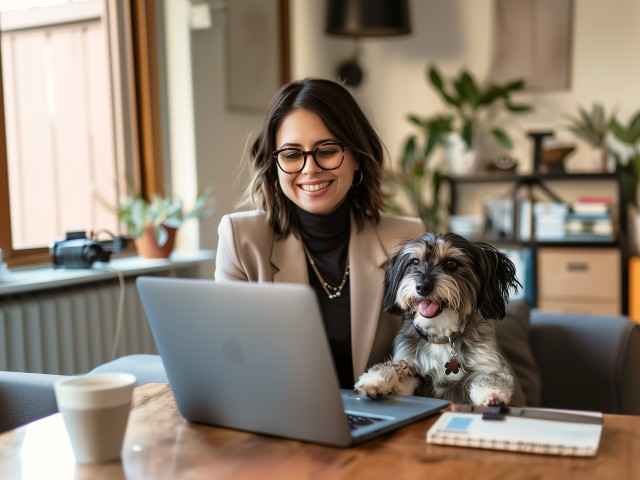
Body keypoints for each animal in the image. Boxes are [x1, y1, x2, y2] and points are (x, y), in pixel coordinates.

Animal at [356, 232, 524, 404]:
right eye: (414, 261)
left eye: (451, 263)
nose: (422, 287)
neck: (441, 336)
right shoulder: (412, 371)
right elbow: (396, 366)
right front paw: (374, 380)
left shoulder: (486, 362)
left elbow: (491, 376)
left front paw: (492, 393)